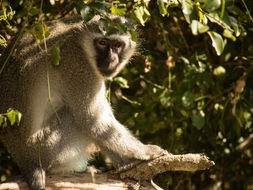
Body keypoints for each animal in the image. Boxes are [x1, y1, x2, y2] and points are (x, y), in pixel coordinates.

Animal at [0, 14, 167, 190]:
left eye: (117, 45)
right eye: (102, 43)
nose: (111, 59)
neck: (80, 42)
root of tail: (24, 160)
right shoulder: (79, 66)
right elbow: (90, 120)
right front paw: (146, 151)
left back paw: (127, 165)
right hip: (46, 149)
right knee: (78, 119)